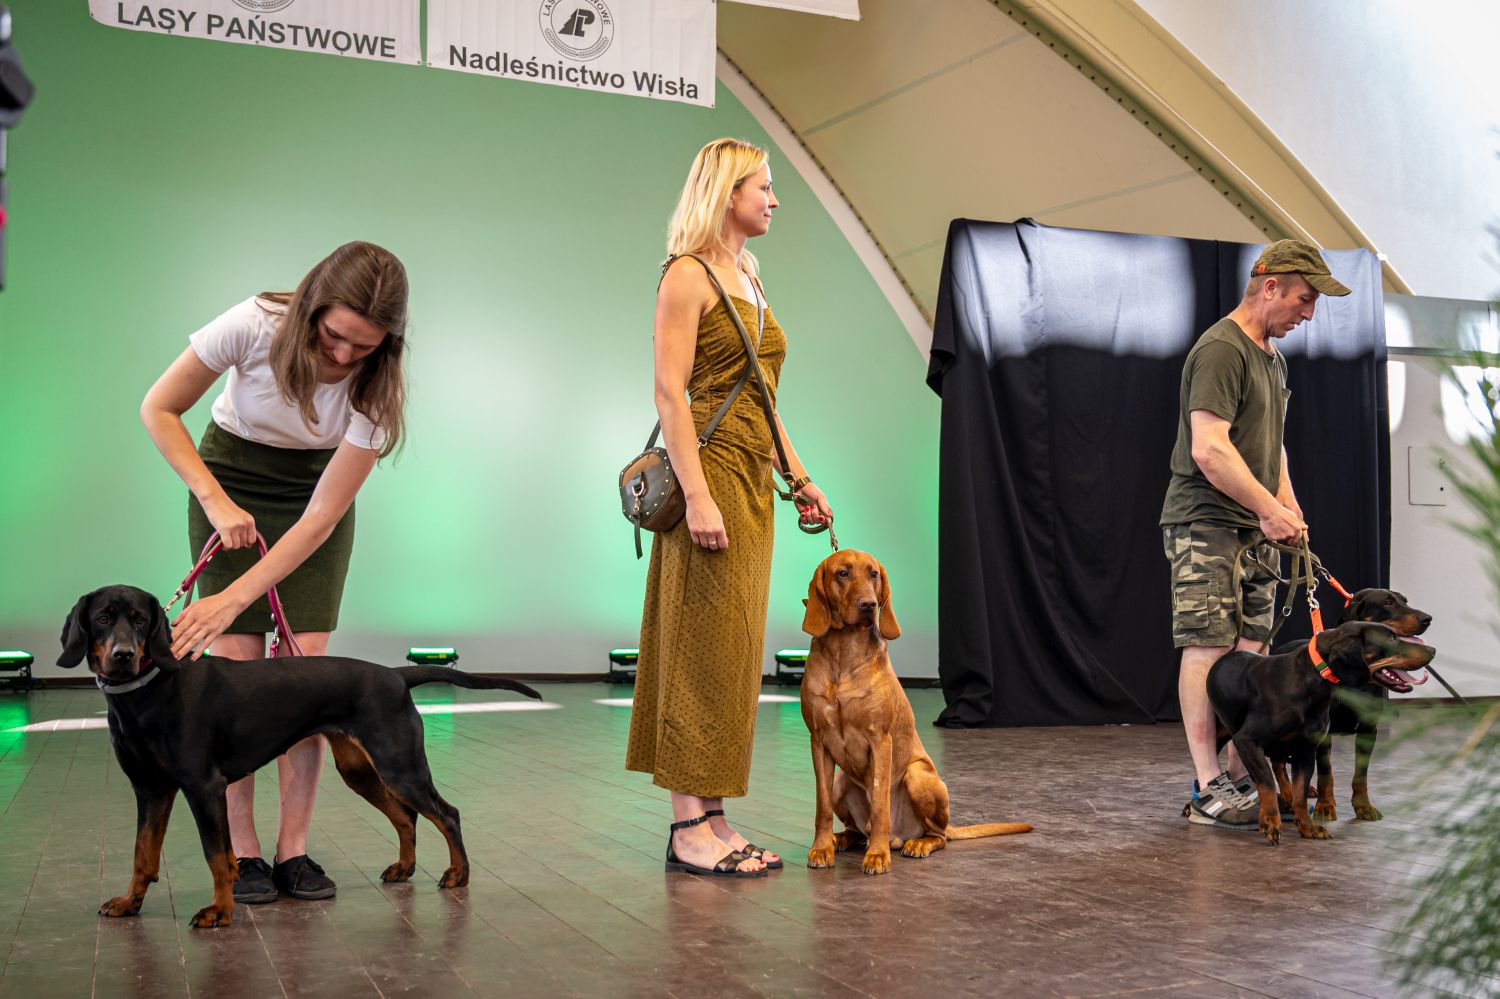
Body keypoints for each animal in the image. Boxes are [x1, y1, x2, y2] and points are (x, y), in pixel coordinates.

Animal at [58, 584, 541, 928]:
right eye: (103, 618)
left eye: (141, 620)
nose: (123, 655)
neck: (149, 691)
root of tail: (395, 675)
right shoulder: (151, 790)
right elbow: (143, 854)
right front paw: (129, 903)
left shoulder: (203, 787)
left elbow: (217, 856)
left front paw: (220, 912)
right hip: (360, 771)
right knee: (406, 817)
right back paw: (404, 867)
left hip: (400, 766)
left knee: (447, 813)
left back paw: (458, 874)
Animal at [799, 550, 1031, 875]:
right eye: (842, 573)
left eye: (873, 574)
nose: (868, 605)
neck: (845, 650)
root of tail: (900, 836)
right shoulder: (819, 741)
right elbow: (821, 806)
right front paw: (821, 848)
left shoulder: (880, 741)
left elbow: (880, 804)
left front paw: (877, 855)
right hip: (840, 784)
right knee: (857, 829)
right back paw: (841, 838)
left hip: (918, 776)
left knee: (938, 835)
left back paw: (916, 844)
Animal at [1208, 620, 1434, 845]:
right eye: (1392, 638)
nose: (1432, 650)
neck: (1310, 680)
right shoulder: (1246, 740)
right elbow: (1266, 782)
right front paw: (1270, 822)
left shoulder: (1307, 749)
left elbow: (1300, 793)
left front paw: (1307, 826)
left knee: (1279, 765)